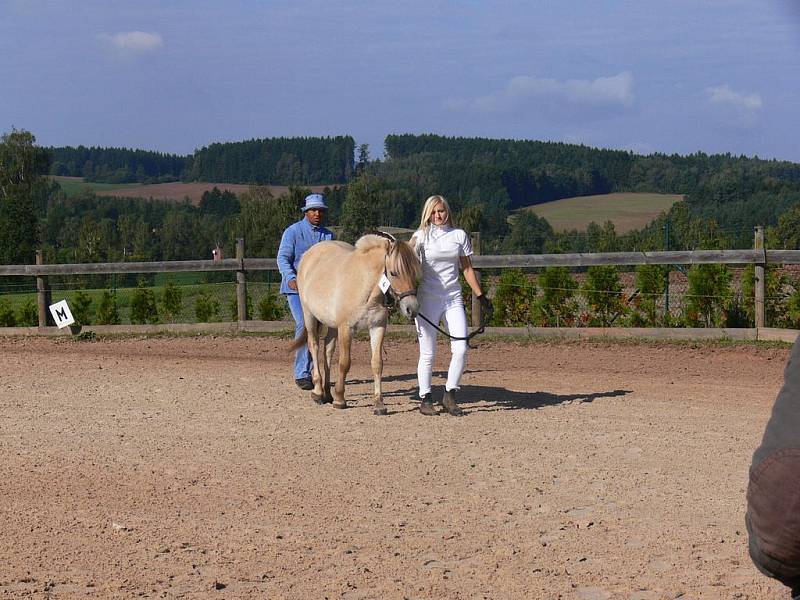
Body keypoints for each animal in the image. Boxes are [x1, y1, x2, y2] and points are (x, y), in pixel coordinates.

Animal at [292, 233, 418, 412]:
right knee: (314, 346)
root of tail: (308, 254)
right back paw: (317, 392)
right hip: (309, 315)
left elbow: (377, 363)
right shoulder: (346, 328)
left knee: (327, 351)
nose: (412, 309)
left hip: (332, 325)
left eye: (415, 272)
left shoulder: (378, 327)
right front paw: (340, 399)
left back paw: (327, 393)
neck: (364, 286)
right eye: (394, 273)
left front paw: (379, 403)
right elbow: (345, 363)